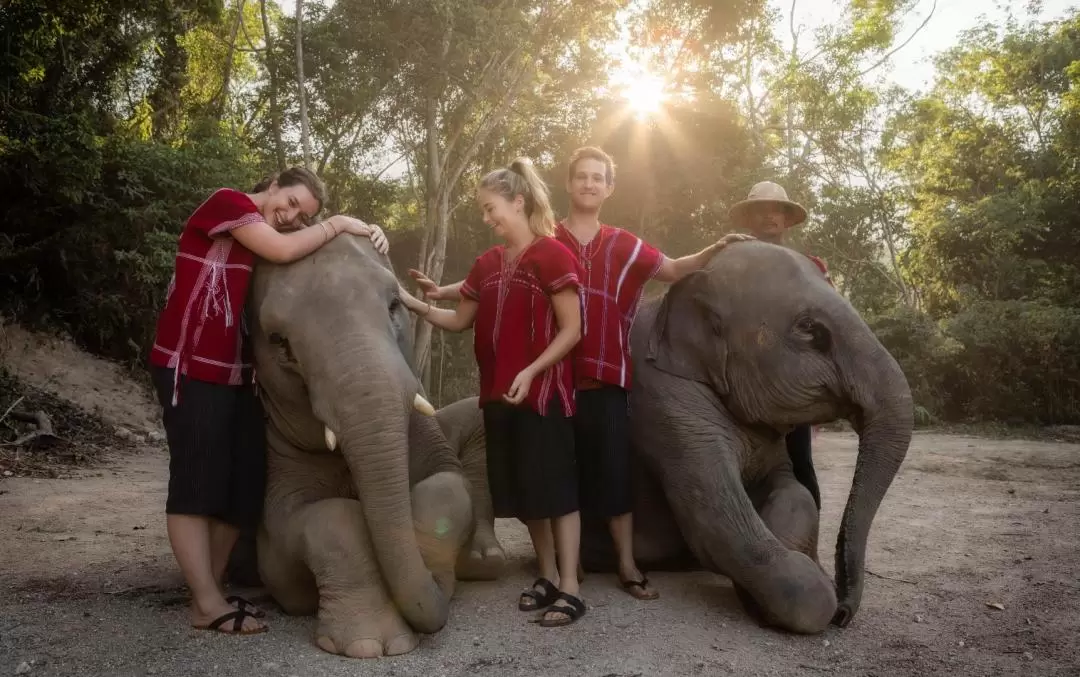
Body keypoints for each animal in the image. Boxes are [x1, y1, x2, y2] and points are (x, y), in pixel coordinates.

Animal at [243, 235, 503, 660]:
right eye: (280, 343)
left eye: (394, 304)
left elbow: (448, 484)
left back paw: (484, 561)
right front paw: (372, 646)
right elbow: (313, 527)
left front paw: (434, 571)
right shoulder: (276, 455)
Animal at [574, 239, 911, 634]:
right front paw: (807, 596)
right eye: (809, 328)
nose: (844, 614)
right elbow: (716, 520)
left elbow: (794, 491)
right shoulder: (663, 403)